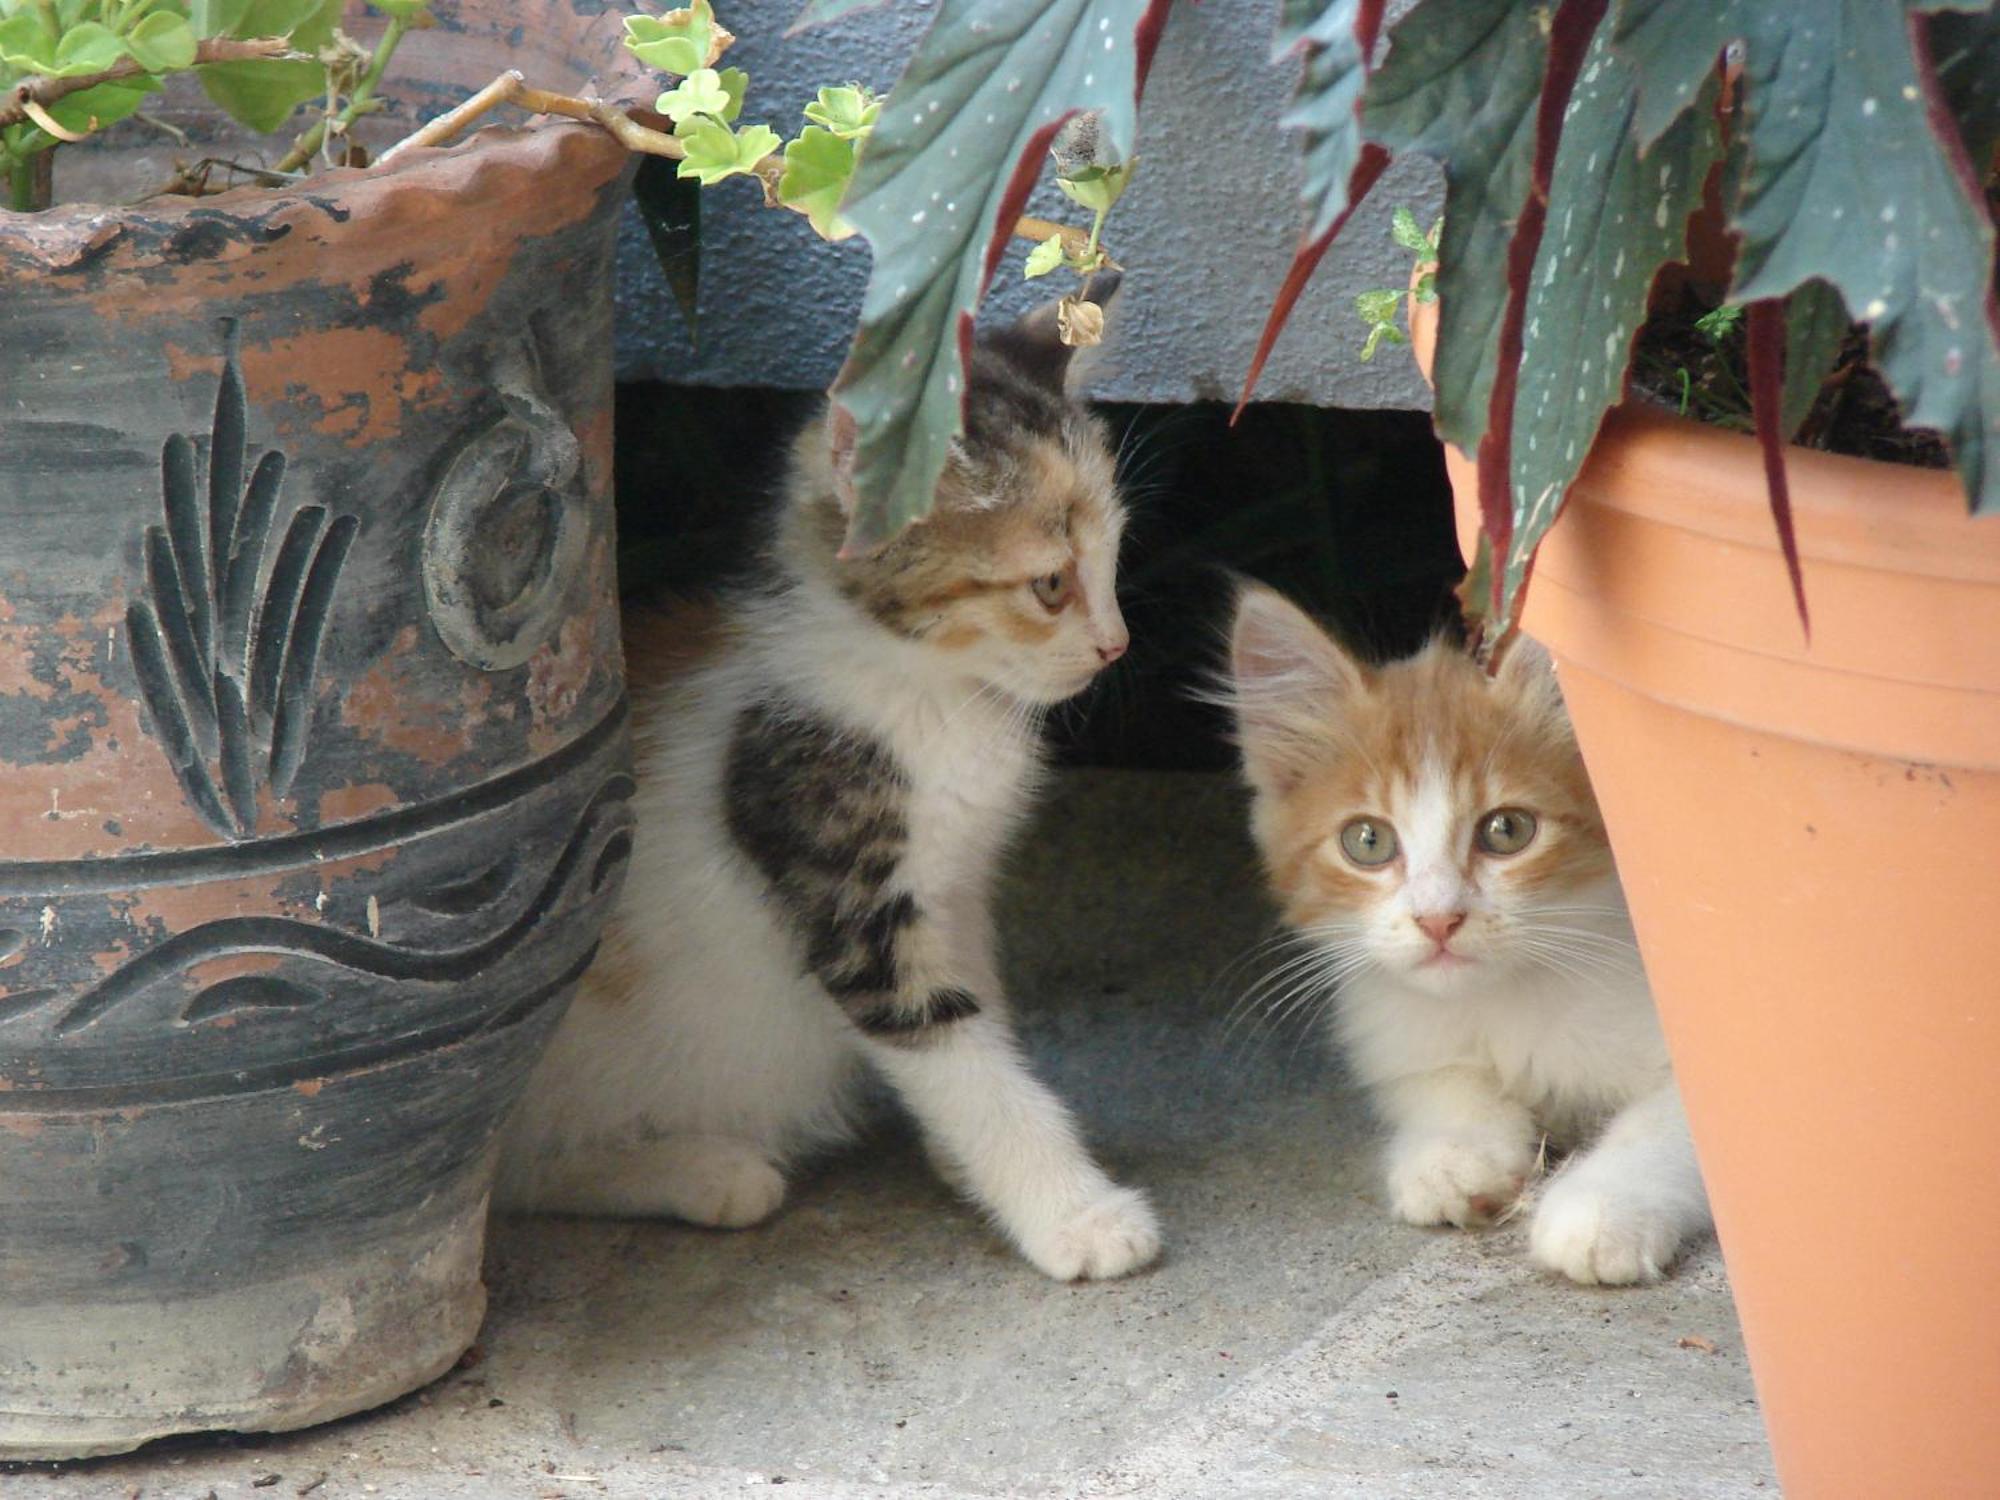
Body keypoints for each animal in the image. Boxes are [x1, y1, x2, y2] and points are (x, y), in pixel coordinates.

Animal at [1224, 580, 1712, 1288]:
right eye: (1367, 841)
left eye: (1507, 830)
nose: (1438, 918)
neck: (1508, 997)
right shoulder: (1402, 1030)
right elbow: (1441, 1085)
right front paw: (1451, 1155)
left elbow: (1667, 1127)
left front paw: (1600, 1209)